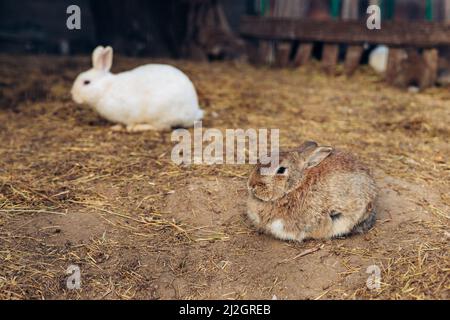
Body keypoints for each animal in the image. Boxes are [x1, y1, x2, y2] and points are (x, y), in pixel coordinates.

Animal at [71, 45, 204, 132]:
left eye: (86, 82)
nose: (73, 95)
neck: (105, 89)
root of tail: (194, 111)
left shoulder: (129, 111)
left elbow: (129, 122)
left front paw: (123, 127)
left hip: (159, 114)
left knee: (162, 127)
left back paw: (139, 127)